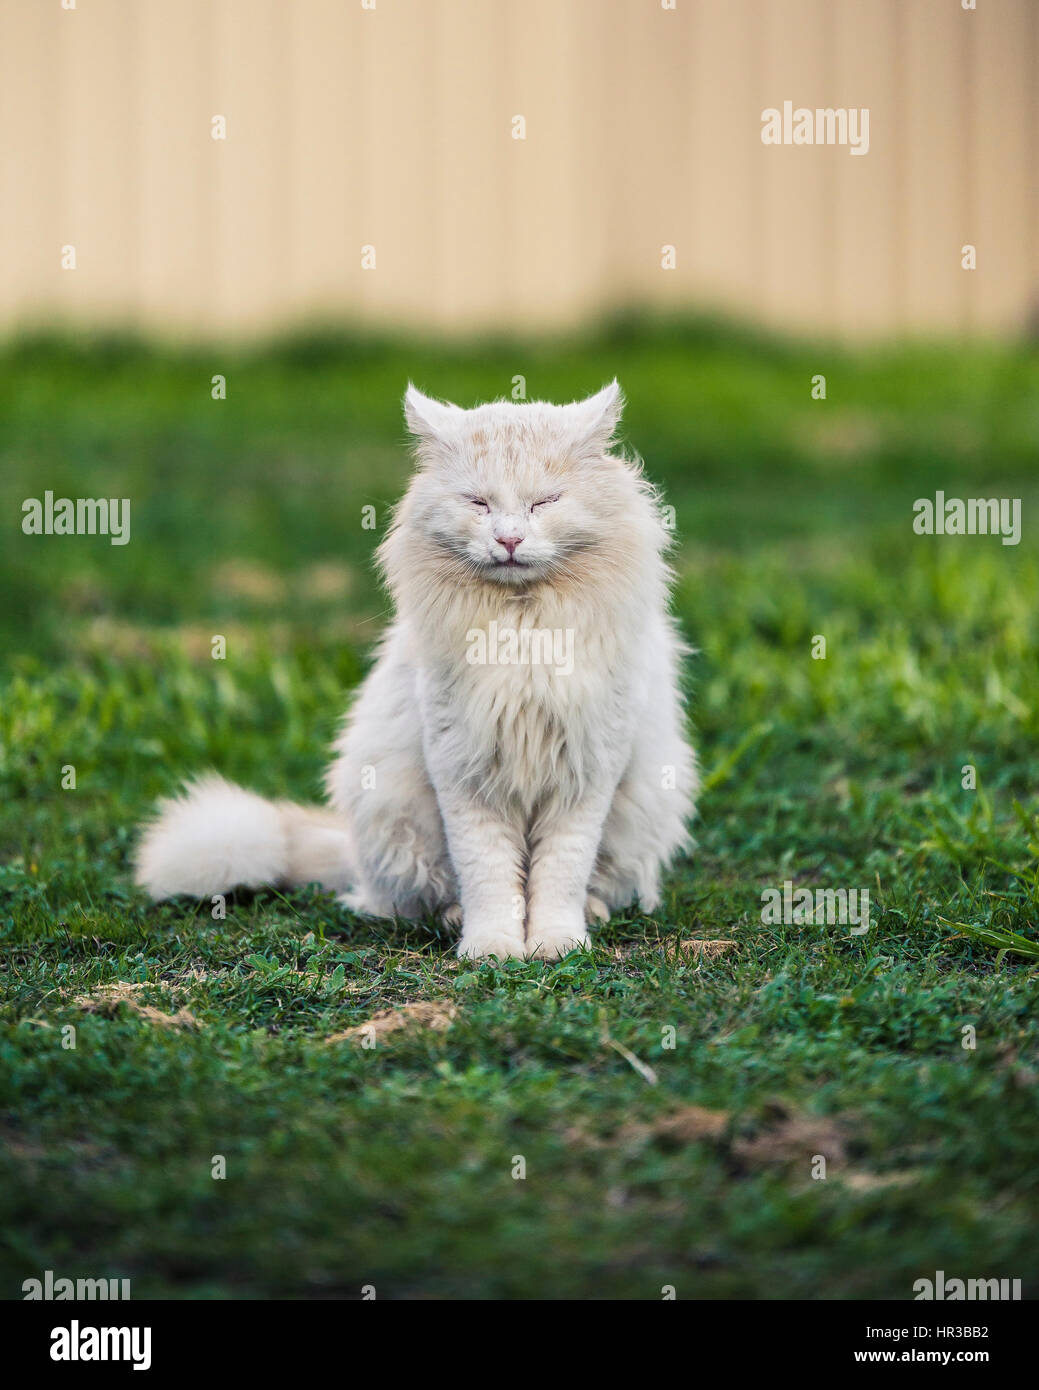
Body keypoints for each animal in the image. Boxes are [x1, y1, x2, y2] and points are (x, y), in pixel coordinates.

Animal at [132, 383, 698, 967]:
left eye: (544, 502)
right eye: (478, 503)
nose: (509, 540)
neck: (520, 628)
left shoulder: (585, 775)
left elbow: (558, 878)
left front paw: (555, 944)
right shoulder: (464, 773)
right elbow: (490, 878)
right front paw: (493, 948)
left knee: (598, 884)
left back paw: (592, 913)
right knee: (412, 898)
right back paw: (452, 919)